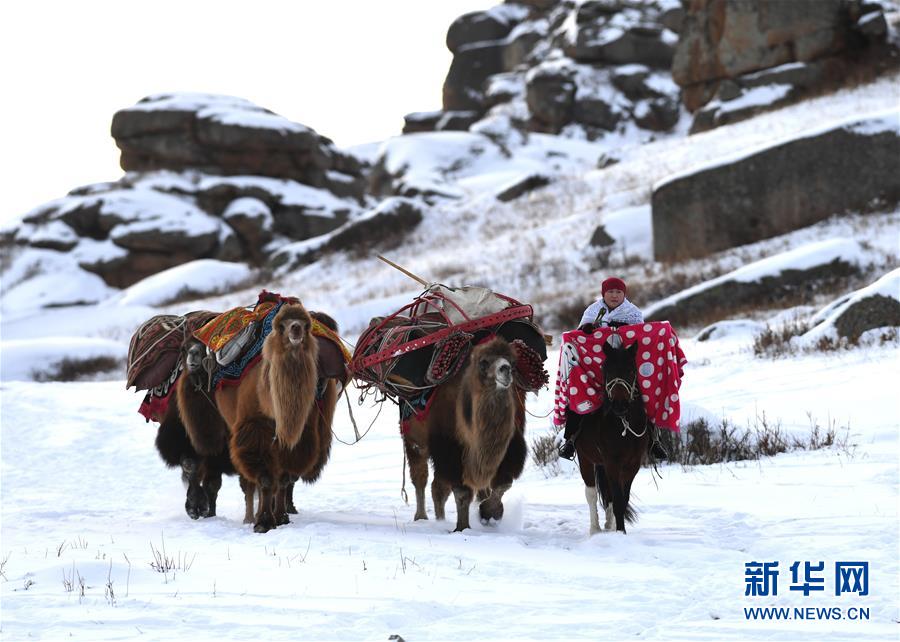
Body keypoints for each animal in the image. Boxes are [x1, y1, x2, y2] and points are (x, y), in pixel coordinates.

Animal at [402, 336, 528, 528]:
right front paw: (462, 527)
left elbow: (503, 484)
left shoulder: (512, 447)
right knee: (421, 478)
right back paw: (421, 517)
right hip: (414, 442)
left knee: (438, 488)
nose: (505, 369)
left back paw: (441, 519)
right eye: (484, 362)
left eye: (513, 362)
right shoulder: (450, 449)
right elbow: (462, 492)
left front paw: (489, 512)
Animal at [576, 332, 648, 532]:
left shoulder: (632, 465)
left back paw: (608, 526)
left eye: (631, 371)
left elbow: (622, 499)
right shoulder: (612, 462)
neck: (623, 426)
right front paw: (620, 532)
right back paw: (595, 529)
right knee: (591, 493)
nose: (619, 405)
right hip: (585, 458)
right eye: (607, 371)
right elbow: (616, 499)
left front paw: (618, 530)